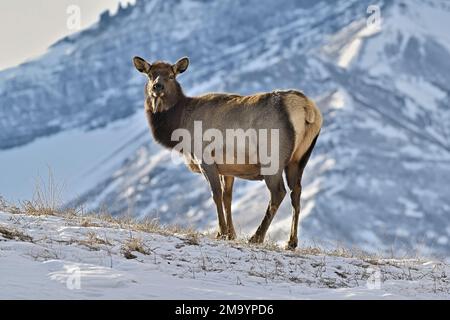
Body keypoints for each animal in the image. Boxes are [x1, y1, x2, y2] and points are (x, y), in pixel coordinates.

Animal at [132, 56, 322, 249]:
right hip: (299, 159)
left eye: (171, 75)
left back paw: (257, 237)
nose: (157, 87)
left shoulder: (205, 159)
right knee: (296, 192)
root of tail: (307, 109)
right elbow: (227, 197)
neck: (178, 124)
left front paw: (222, 233)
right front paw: (230, 234)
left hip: (272, 158)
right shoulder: (228, 168)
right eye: (150, 75)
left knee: (278, 192)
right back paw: (291, 241)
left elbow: (216, 194)